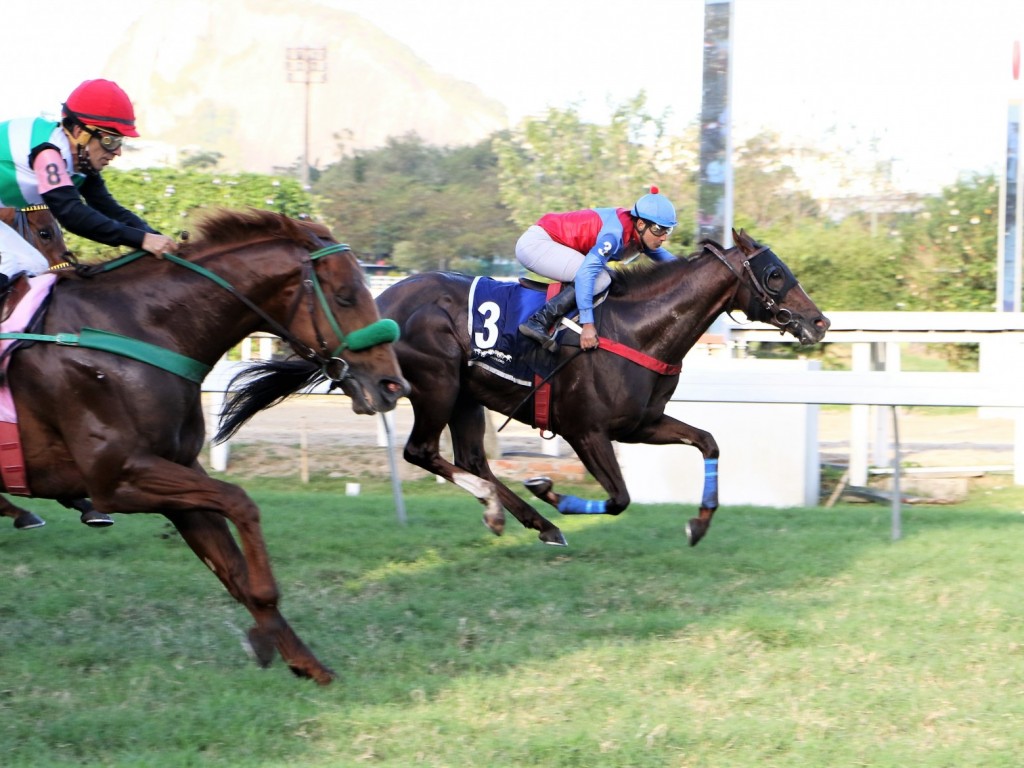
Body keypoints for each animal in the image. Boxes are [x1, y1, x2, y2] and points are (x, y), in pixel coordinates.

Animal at [0, 207, 407, 684]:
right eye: (344, 296)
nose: (392, 385)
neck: (133, 328)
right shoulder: (116, 477)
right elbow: (241, 502)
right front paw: (267, 607)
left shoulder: (176, 475)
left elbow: (231, 567)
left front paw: (305, 662)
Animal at [220, 225, 827, 548]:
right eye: (775, 274)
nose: (818, 322)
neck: (634, 329)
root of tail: (382, 305)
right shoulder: (586, 430)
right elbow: (619, 498)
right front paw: (550, 489)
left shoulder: (641, 424)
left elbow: (707, 442)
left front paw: (699, 524)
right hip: (439, 383)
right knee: (423, 452)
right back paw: (521, 511)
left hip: (468, 396)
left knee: (472, 459)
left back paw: (532, 521)